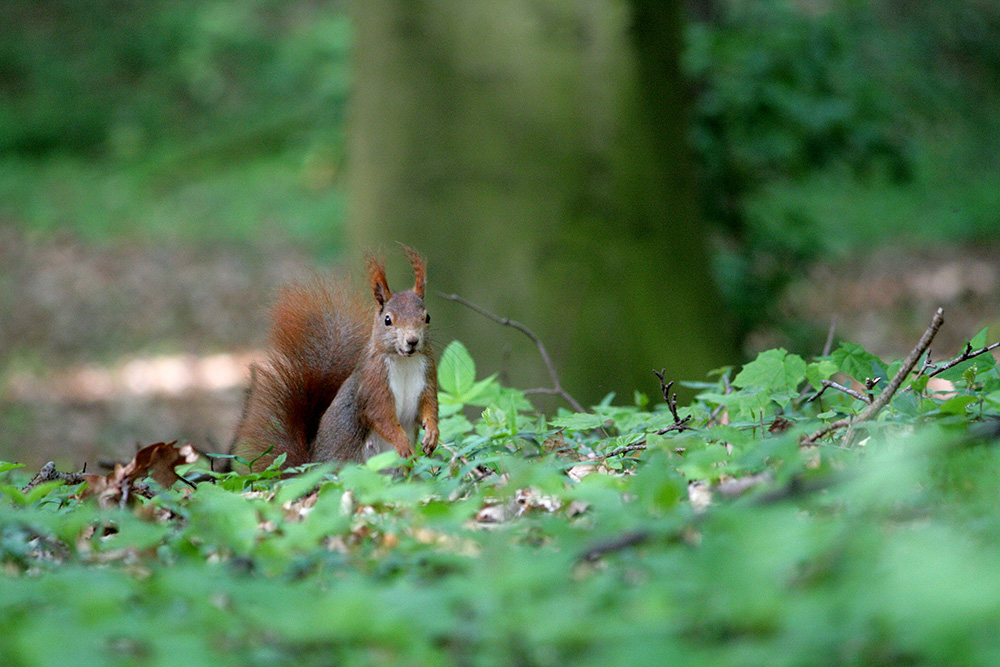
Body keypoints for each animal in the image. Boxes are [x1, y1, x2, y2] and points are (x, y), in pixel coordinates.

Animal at [234, 248, 442, 472]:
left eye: (427, 317)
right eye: (388, 320)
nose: (412, 341)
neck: (404, 361)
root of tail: (311, 467)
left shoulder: (428, 375)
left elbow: (430, 406)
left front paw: (432, 433)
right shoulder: (373, 383)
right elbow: (381, 417)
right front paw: (403, 443)